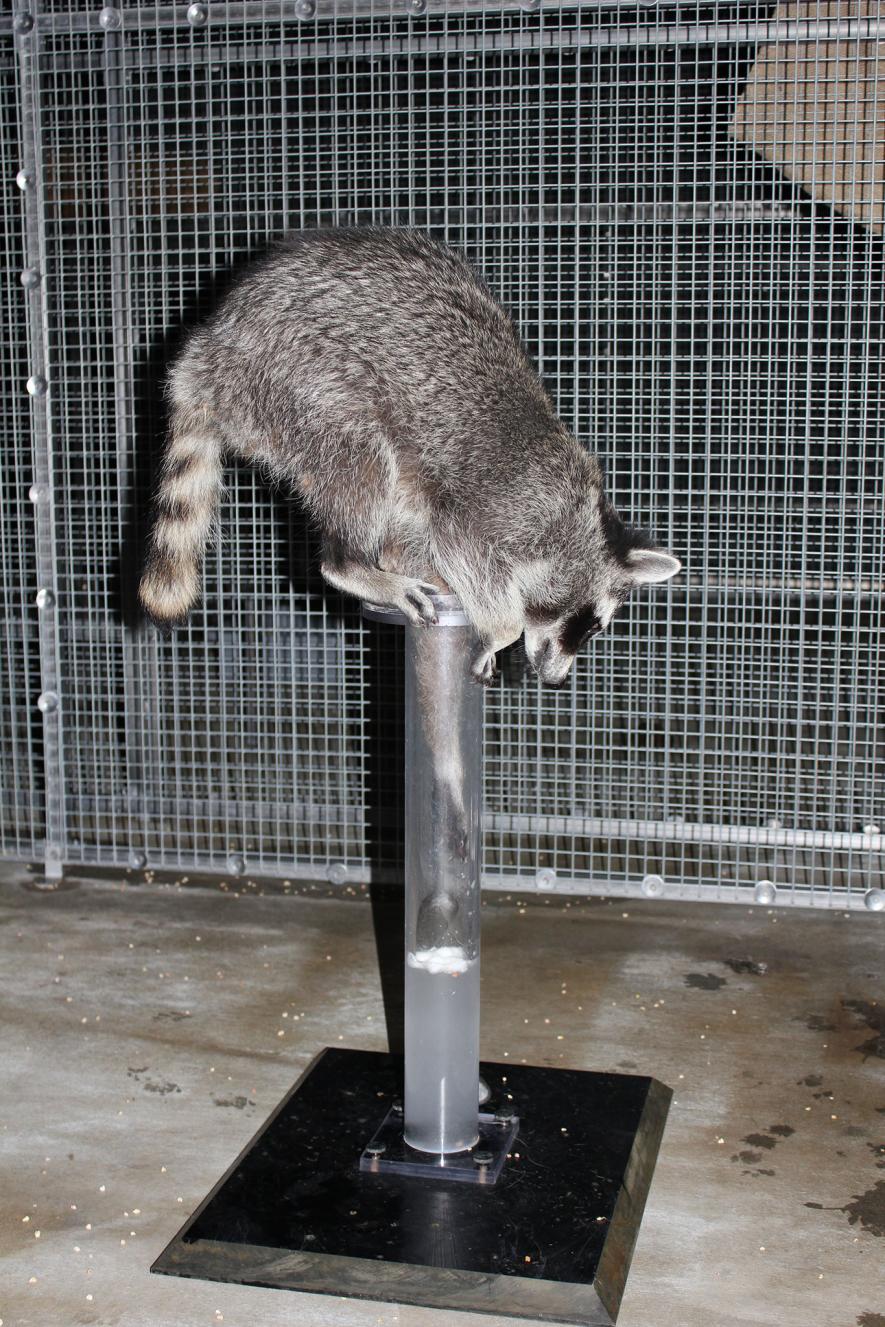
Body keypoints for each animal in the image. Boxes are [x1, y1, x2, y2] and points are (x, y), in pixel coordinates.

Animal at [139, 227, 680, 684]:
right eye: (589, 623)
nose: (556, 678)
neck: (581, 522)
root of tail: (211, 350)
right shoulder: (505, 505)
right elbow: (463, 539)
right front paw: (502, 627)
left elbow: (421, 540)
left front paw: (426, 569)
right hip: (302, 378)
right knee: (363, 456)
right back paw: (351, 563)